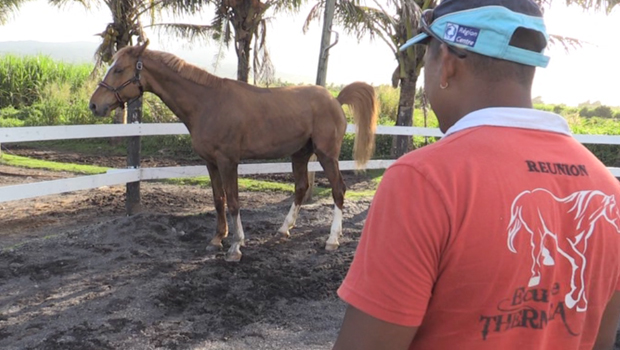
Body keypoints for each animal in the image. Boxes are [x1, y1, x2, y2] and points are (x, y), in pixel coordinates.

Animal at [87, 41, 378, 262]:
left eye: (119, 69)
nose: (94, 105)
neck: (207, 103)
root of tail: (334, 99)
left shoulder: (229, 162)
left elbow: (235, 201)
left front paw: (236, 246)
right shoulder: (211, 163)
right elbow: (219, 200)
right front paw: (217, 239)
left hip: (327, 155)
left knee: (338, 190)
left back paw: (332, 239)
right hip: (300, 155)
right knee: (301, 188)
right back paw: (283, 230)